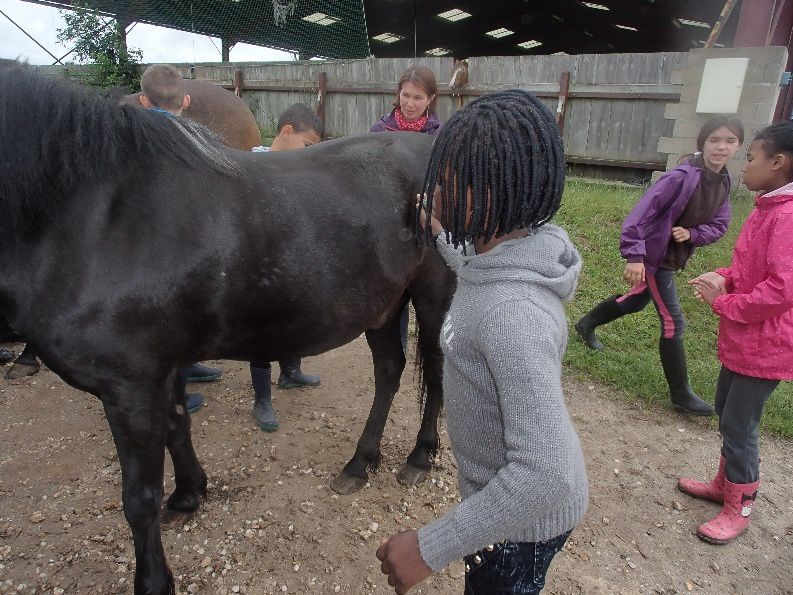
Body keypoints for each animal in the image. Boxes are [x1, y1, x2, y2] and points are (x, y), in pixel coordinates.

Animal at [0, 61, 452, 595]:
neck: (101, 214)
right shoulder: (162, 369)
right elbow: (178, 426)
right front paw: (189, 495)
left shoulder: (128, 387)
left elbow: (139, 497)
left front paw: (154, 579)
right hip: (383, 307)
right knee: (389, 371)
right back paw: (360, 463)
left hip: (434, 297)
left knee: (436, 374)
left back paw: (419, 457)